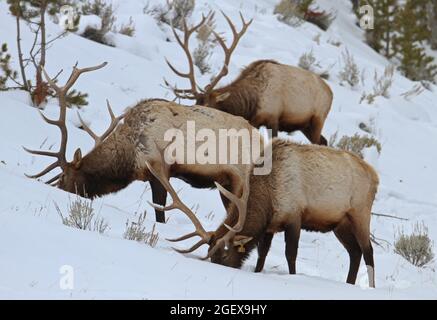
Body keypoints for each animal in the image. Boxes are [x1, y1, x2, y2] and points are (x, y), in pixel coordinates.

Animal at [25, 62, 262, 225]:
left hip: (238, 183)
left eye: (64, 176)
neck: (129, 157)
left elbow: (160, 211)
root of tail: (263, 142)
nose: (55, 189)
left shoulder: (160, 169)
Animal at [149, 139, 374, 286]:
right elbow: (262, 254)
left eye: (225, 253)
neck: (268, 195)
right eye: (212, 256)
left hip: (360, 213)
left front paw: (293, 276)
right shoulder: (270, 226)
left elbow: (291, 254)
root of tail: (375, 175)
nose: (225, 269)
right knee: (355, 253)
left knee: (368, 252)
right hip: (340, 224)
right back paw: (349, 283)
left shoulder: (294, 216)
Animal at [165, 11, 332, 144]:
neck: (251, 104)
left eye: (206, 107)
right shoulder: (253, 122)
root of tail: (331, 93)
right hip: (306, 126)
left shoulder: (273, 119)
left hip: (318, 120)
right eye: (194, 105)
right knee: (324, 141)